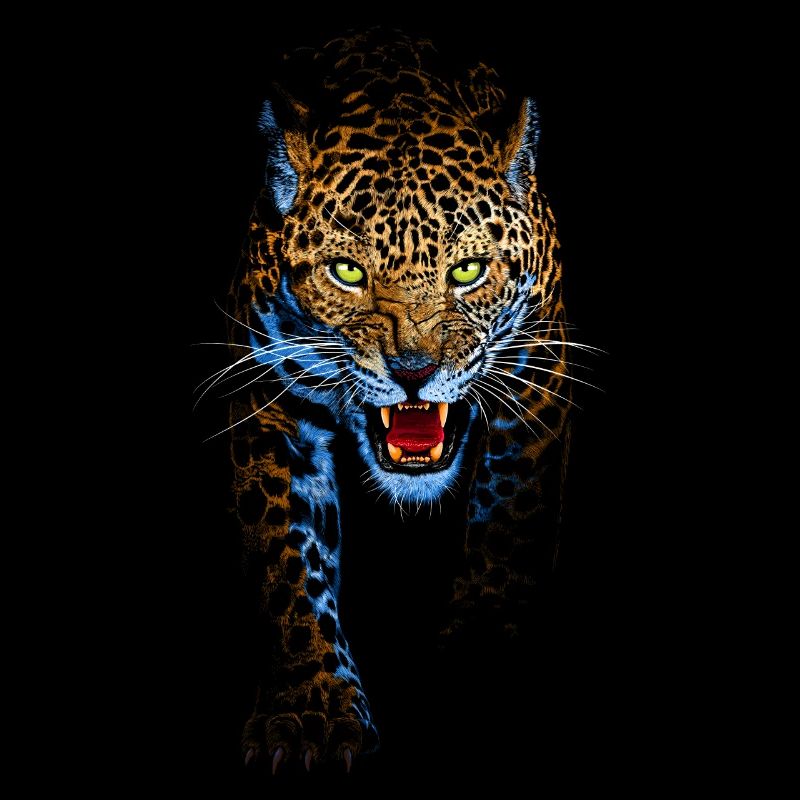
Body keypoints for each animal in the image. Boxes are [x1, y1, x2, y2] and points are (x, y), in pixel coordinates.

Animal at [215, 29, 575, 775]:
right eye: (348, 272)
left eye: (467, 270)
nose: (413, 370)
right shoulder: (267, 394)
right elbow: (287, 558)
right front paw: (311, 709)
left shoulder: (538, 377)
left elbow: (510, 526)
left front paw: (477, 664)